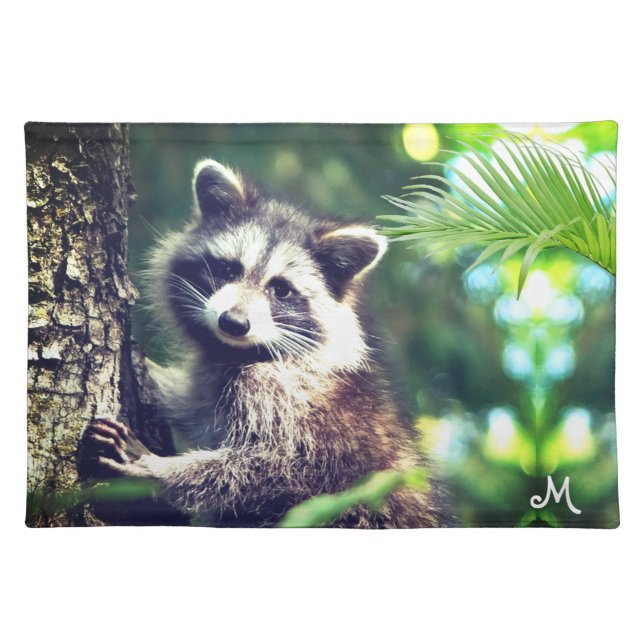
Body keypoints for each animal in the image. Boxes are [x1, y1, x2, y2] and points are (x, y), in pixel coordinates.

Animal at [82, 159, 451, 527]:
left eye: (281, 290)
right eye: (228, 269)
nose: (233, 323)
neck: (238, 352)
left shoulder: (297, 403)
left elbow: (279, 467)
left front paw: (156, 471)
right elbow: (192, 404)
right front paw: (151, 372)